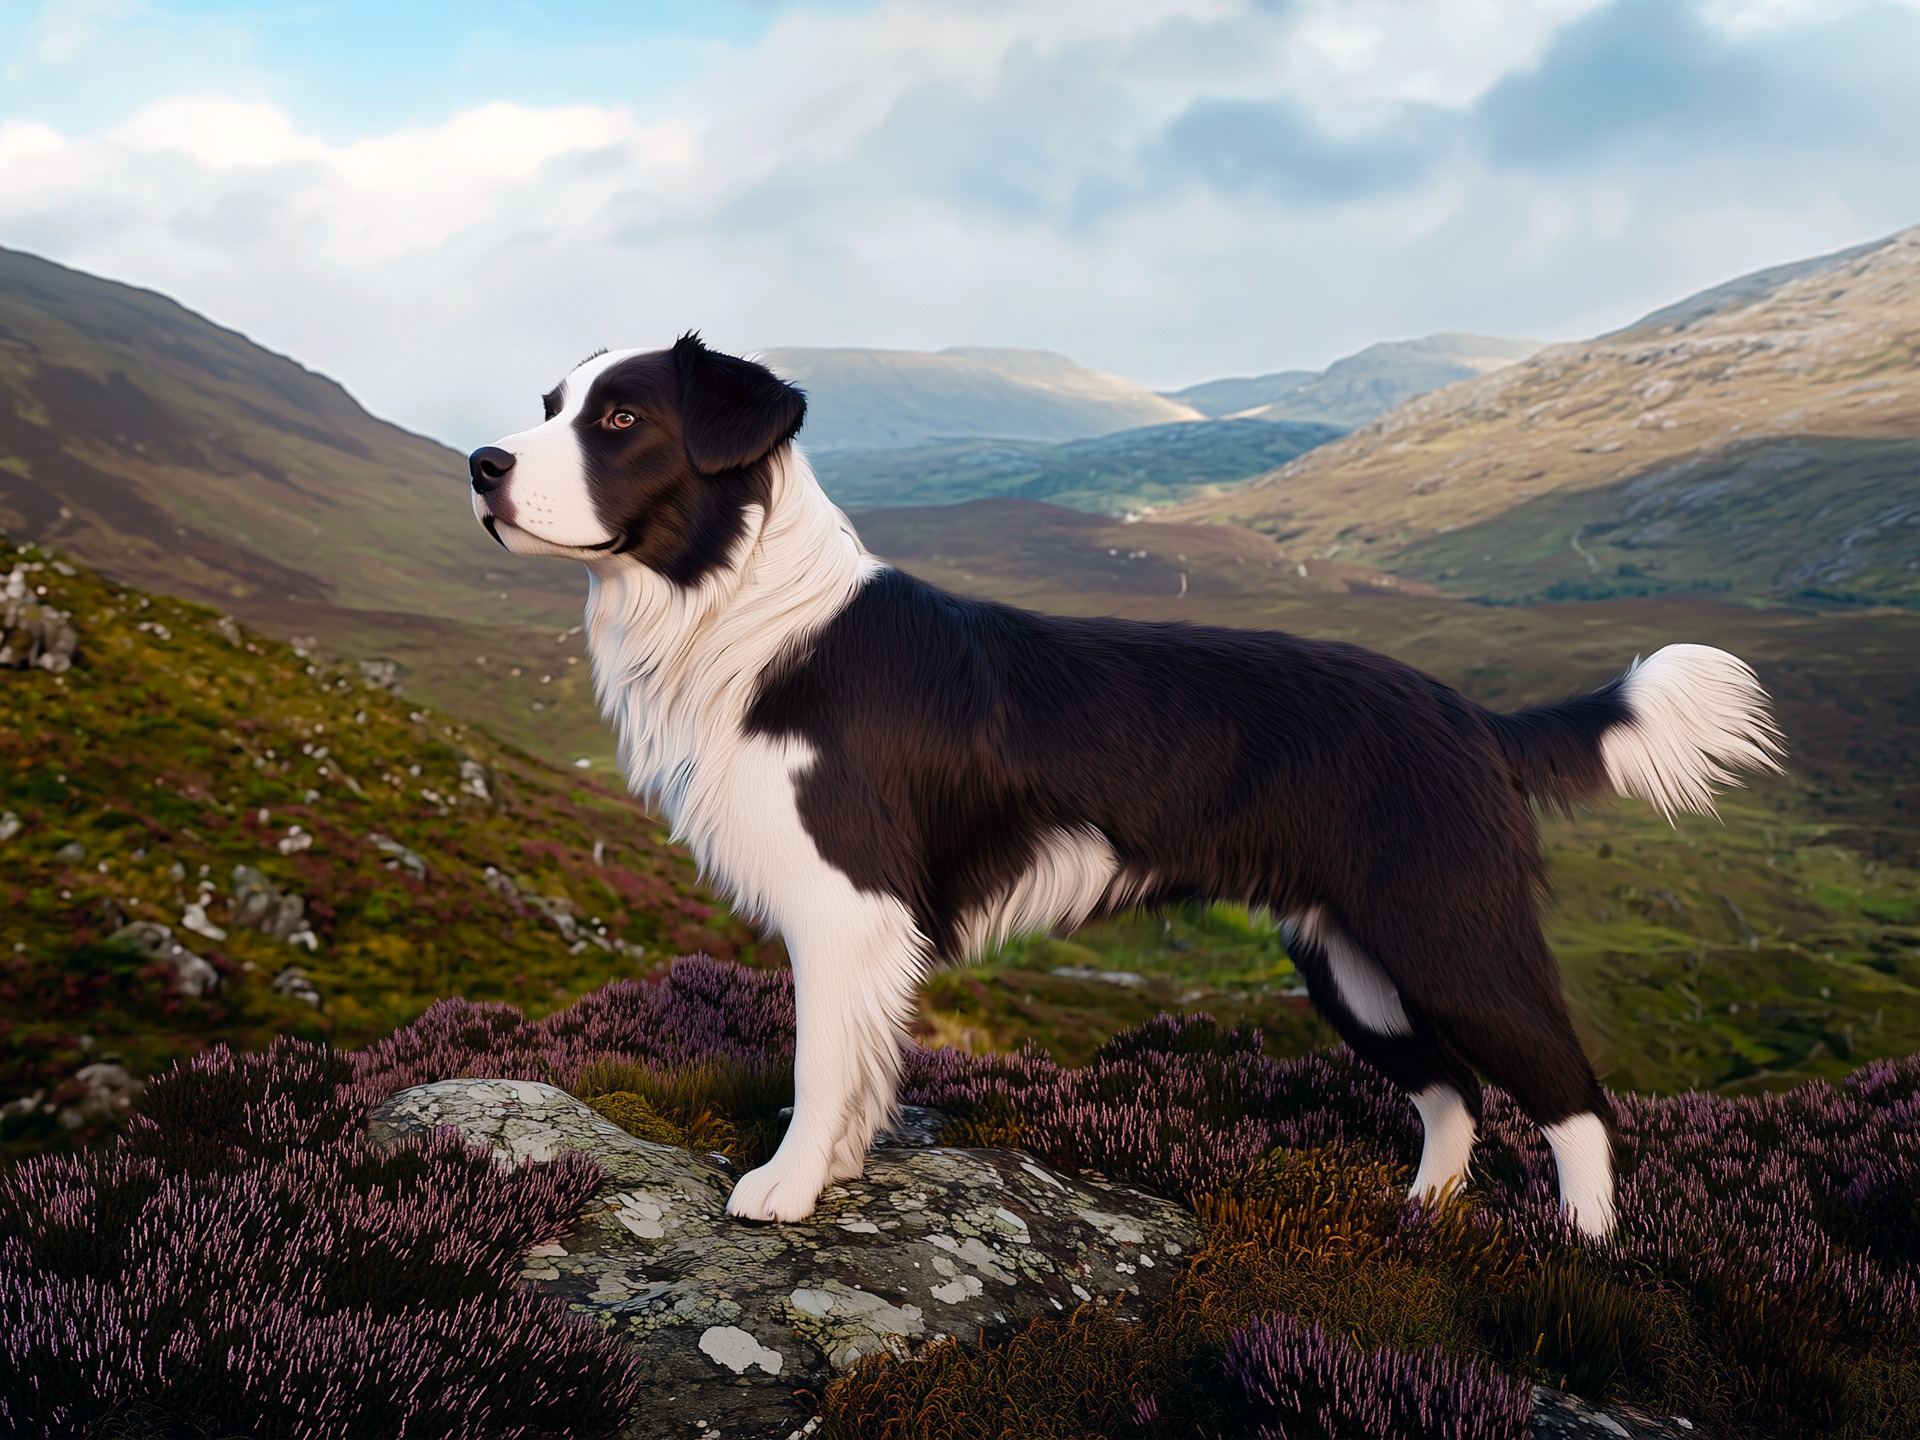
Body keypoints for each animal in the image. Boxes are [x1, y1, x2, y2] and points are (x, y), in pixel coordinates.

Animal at [468, 332, 1781, 1236]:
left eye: (622, 415)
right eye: (548, 407)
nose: (479, 464)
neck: (742, 612)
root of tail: (1470, 716)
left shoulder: (849, 904)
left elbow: (819, 1065)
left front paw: (785, 1190)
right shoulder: (868, 931)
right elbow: (863, 1070)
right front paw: (835, 1174)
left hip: (1450, 933)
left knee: (1574, 1098)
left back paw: (1585, 1251)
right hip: (1352, 966)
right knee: (1451, 1091)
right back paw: (1421, 1220)